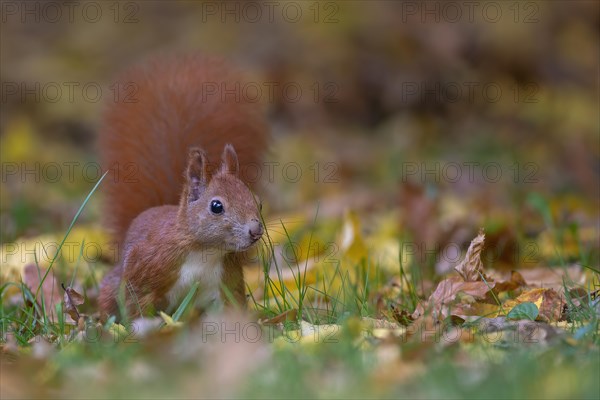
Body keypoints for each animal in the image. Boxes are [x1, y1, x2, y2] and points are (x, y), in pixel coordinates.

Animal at [97, 55, 266, 318]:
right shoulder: (145, 267)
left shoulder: (227, 283)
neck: (204, 252)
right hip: (112, 286)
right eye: (216, 206)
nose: (256, 230)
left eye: (258, 202)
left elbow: (233, 306)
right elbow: (137, 303)